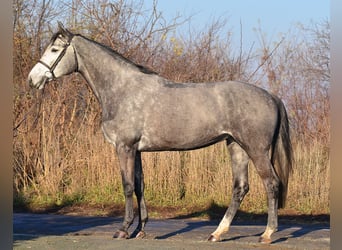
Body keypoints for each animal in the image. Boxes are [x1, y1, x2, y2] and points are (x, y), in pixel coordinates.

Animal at [28, 22, 292, 243]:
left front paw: (123, 229)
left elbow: (127, 186)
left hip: (256, 150)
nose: (33, 79)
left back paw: (267, 234)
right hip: (236, 146)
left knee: (271, 184)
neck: (122, 89)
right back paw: (217, 234)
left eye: (54, 49)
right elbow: (139, 186)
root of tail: (271, 97)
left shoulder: (124, 147)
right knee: (240, 188)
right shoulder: (136, 150)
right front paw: (140, 229)